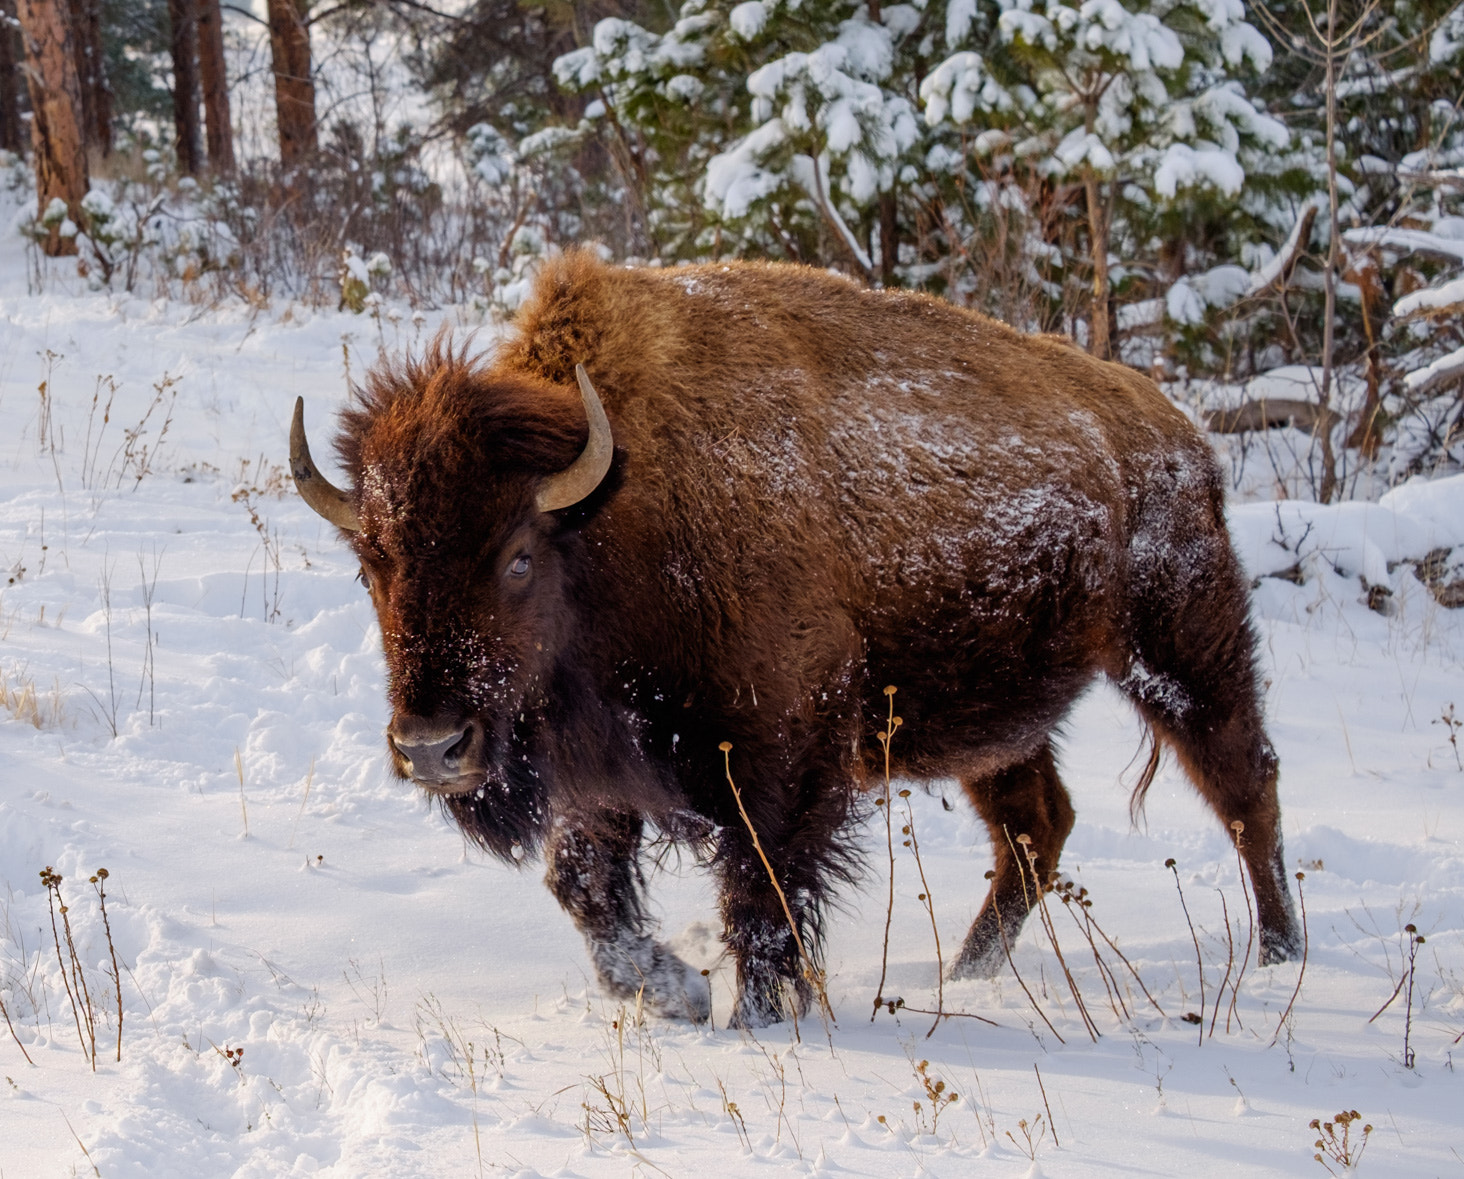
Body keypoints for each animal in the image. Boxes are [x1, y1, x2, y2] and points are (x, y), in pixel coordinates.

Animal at [290, 251, 1300, 1028]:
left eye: (517, 556)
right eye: (372, 560)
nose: (431, 747)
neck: (615, 510)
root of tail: (1180, 434)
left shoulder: (782, 762)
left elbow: (762, 900)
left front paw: (753, 1018)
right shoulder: (601, 774)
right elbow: (584, 888)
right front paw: (678, 994)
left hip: (1179, 647)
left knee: (1243, 783)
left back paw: (1282, 955)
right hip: (994, 719)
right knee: (1035, 825)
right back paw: (965, 974)